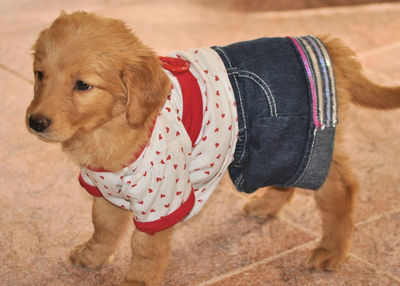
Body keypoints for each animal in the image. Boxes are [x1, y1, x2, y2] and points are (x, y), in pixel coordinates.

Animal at [25, 11, 400, 286]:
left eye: (82, 85)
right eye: (40, 74)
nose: (35, 122)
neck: (110, 130)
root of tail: (325, 46)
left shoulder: (162, 198)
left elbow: (144, 248)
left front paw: (136, 281)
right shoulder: (104, 187)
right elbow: (102, 226)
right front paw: (93, 256)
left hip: (296, 139)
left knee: (340, 187)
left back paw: (331, 250)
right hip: (273, 151)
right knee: (288, 182)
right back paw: (267, 205)